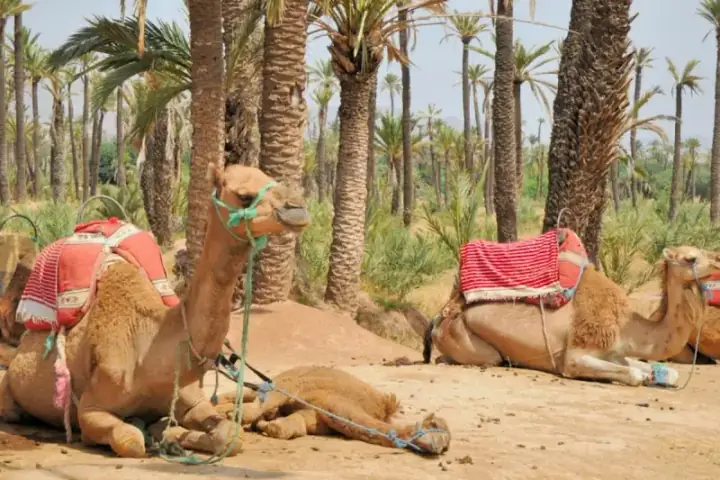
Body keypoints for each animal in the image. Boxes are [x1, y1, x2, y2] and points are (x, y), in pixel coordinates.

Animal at [0, 164, 311, 458]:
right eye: (244, 195)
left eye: (269, 177)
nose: (299, 209)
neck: (150, 349)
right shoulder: (91, 408)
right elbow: (130, 440)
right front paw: (157, 434)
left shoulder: (191, 399)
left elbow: (230, 436)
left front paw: (170, 434)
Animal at [213, 365, 450, 455]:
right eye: (434, 424)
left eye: (447, 442)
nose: (440, 446)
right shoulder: (300, 392)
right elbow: (261, 407)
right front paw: (235, 417)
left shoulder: (315, 416)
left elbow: (290, 427)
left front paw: (266, 425)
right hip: (283, 379)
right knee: (245, 393)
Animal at [421, 242, 714, 387]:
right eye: (690, 258)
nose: (718, 261)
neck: (626, 326)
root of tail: (439, 317)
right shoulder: (575, 355)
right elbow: (634, 376)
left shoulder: (616, 352)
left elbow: (663, 372)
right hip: (467, 339)